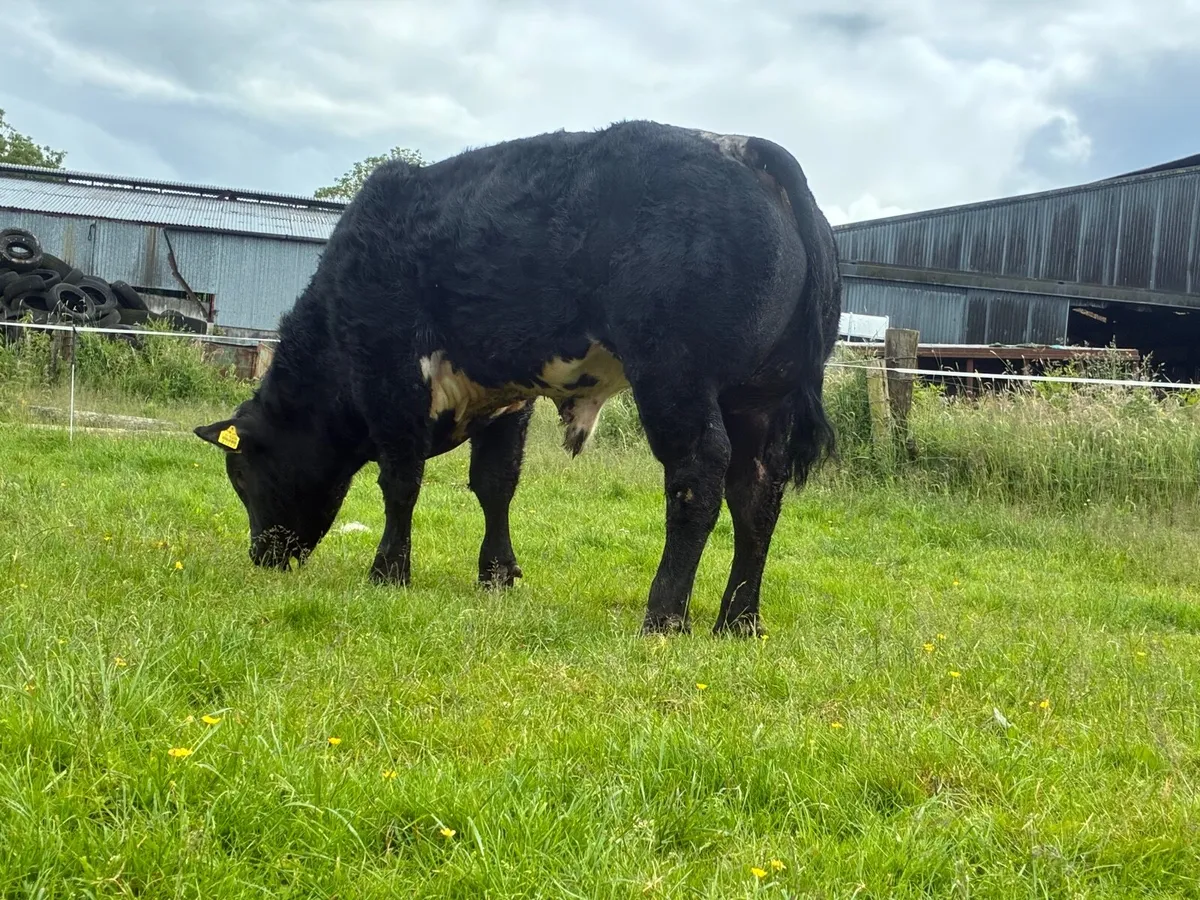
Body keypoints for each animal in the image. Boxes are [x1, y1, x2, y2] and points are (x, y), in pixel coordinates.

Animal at [194, 120, 842, 636]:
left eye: (241, 473)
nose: (262, 556)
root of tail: (741, 147)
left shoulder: (390, 378)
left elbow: (400, 481)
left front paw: (388, 572)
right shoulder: (507, 395)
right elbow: (495, 483)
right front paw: (497, 574)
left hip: (677, 377)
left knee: (698, 477)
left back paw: (664, 616)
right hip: (760, 396)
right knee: (756, 492)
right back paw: (738, 621)